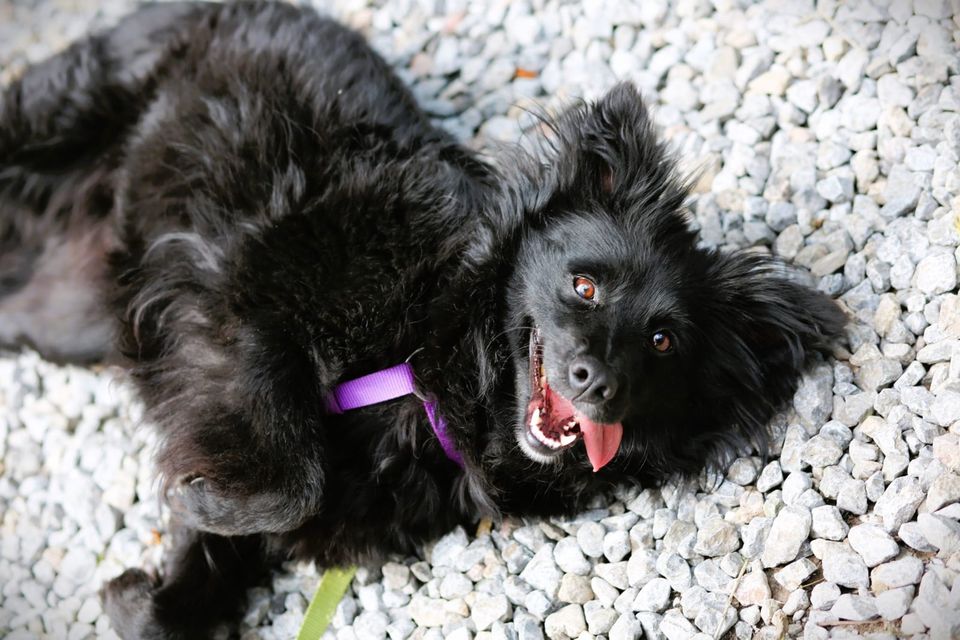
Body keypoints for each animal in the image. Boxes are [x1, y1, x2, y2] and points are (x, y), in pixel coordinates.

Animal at [0, 2, 844, 636]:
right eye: (584, 286)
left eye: (664, 342)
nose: (596, 381)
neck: (432, 349)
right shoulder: (240, 296)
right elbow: (290, 476)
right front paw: (202, 502)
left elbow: (207, 571)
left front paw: (148, 588)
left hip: (64, 317)